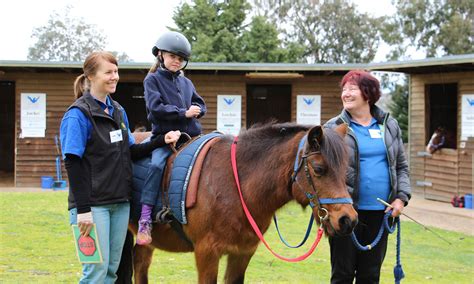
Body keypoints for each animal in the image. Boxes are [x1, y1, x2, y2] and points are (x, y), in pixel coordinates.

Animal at [124, 122, 358, 284]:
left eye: (345, 169)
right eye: (319, 169)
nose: (348, 220)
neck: (233, 186)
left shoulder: (242, 253)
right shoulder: (206, 252)